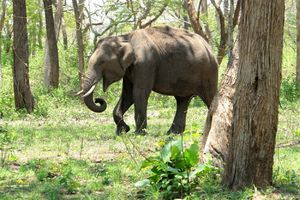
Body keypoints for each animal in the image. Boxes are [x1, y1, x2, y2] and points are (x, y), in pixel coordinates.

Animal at [77, 25, 218, 134]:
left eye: (101, 62)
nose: (99, 100)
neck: (125, 38)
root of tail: (209, 47)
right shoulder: (130, 69)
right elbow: (127, 95)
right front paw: (122, 131)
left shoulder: (145, 64)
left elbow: (139, 93)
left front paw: (139, 133)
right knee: (182, 100)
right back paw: (173, 133)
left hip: (209, 72)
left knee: (210, 97)